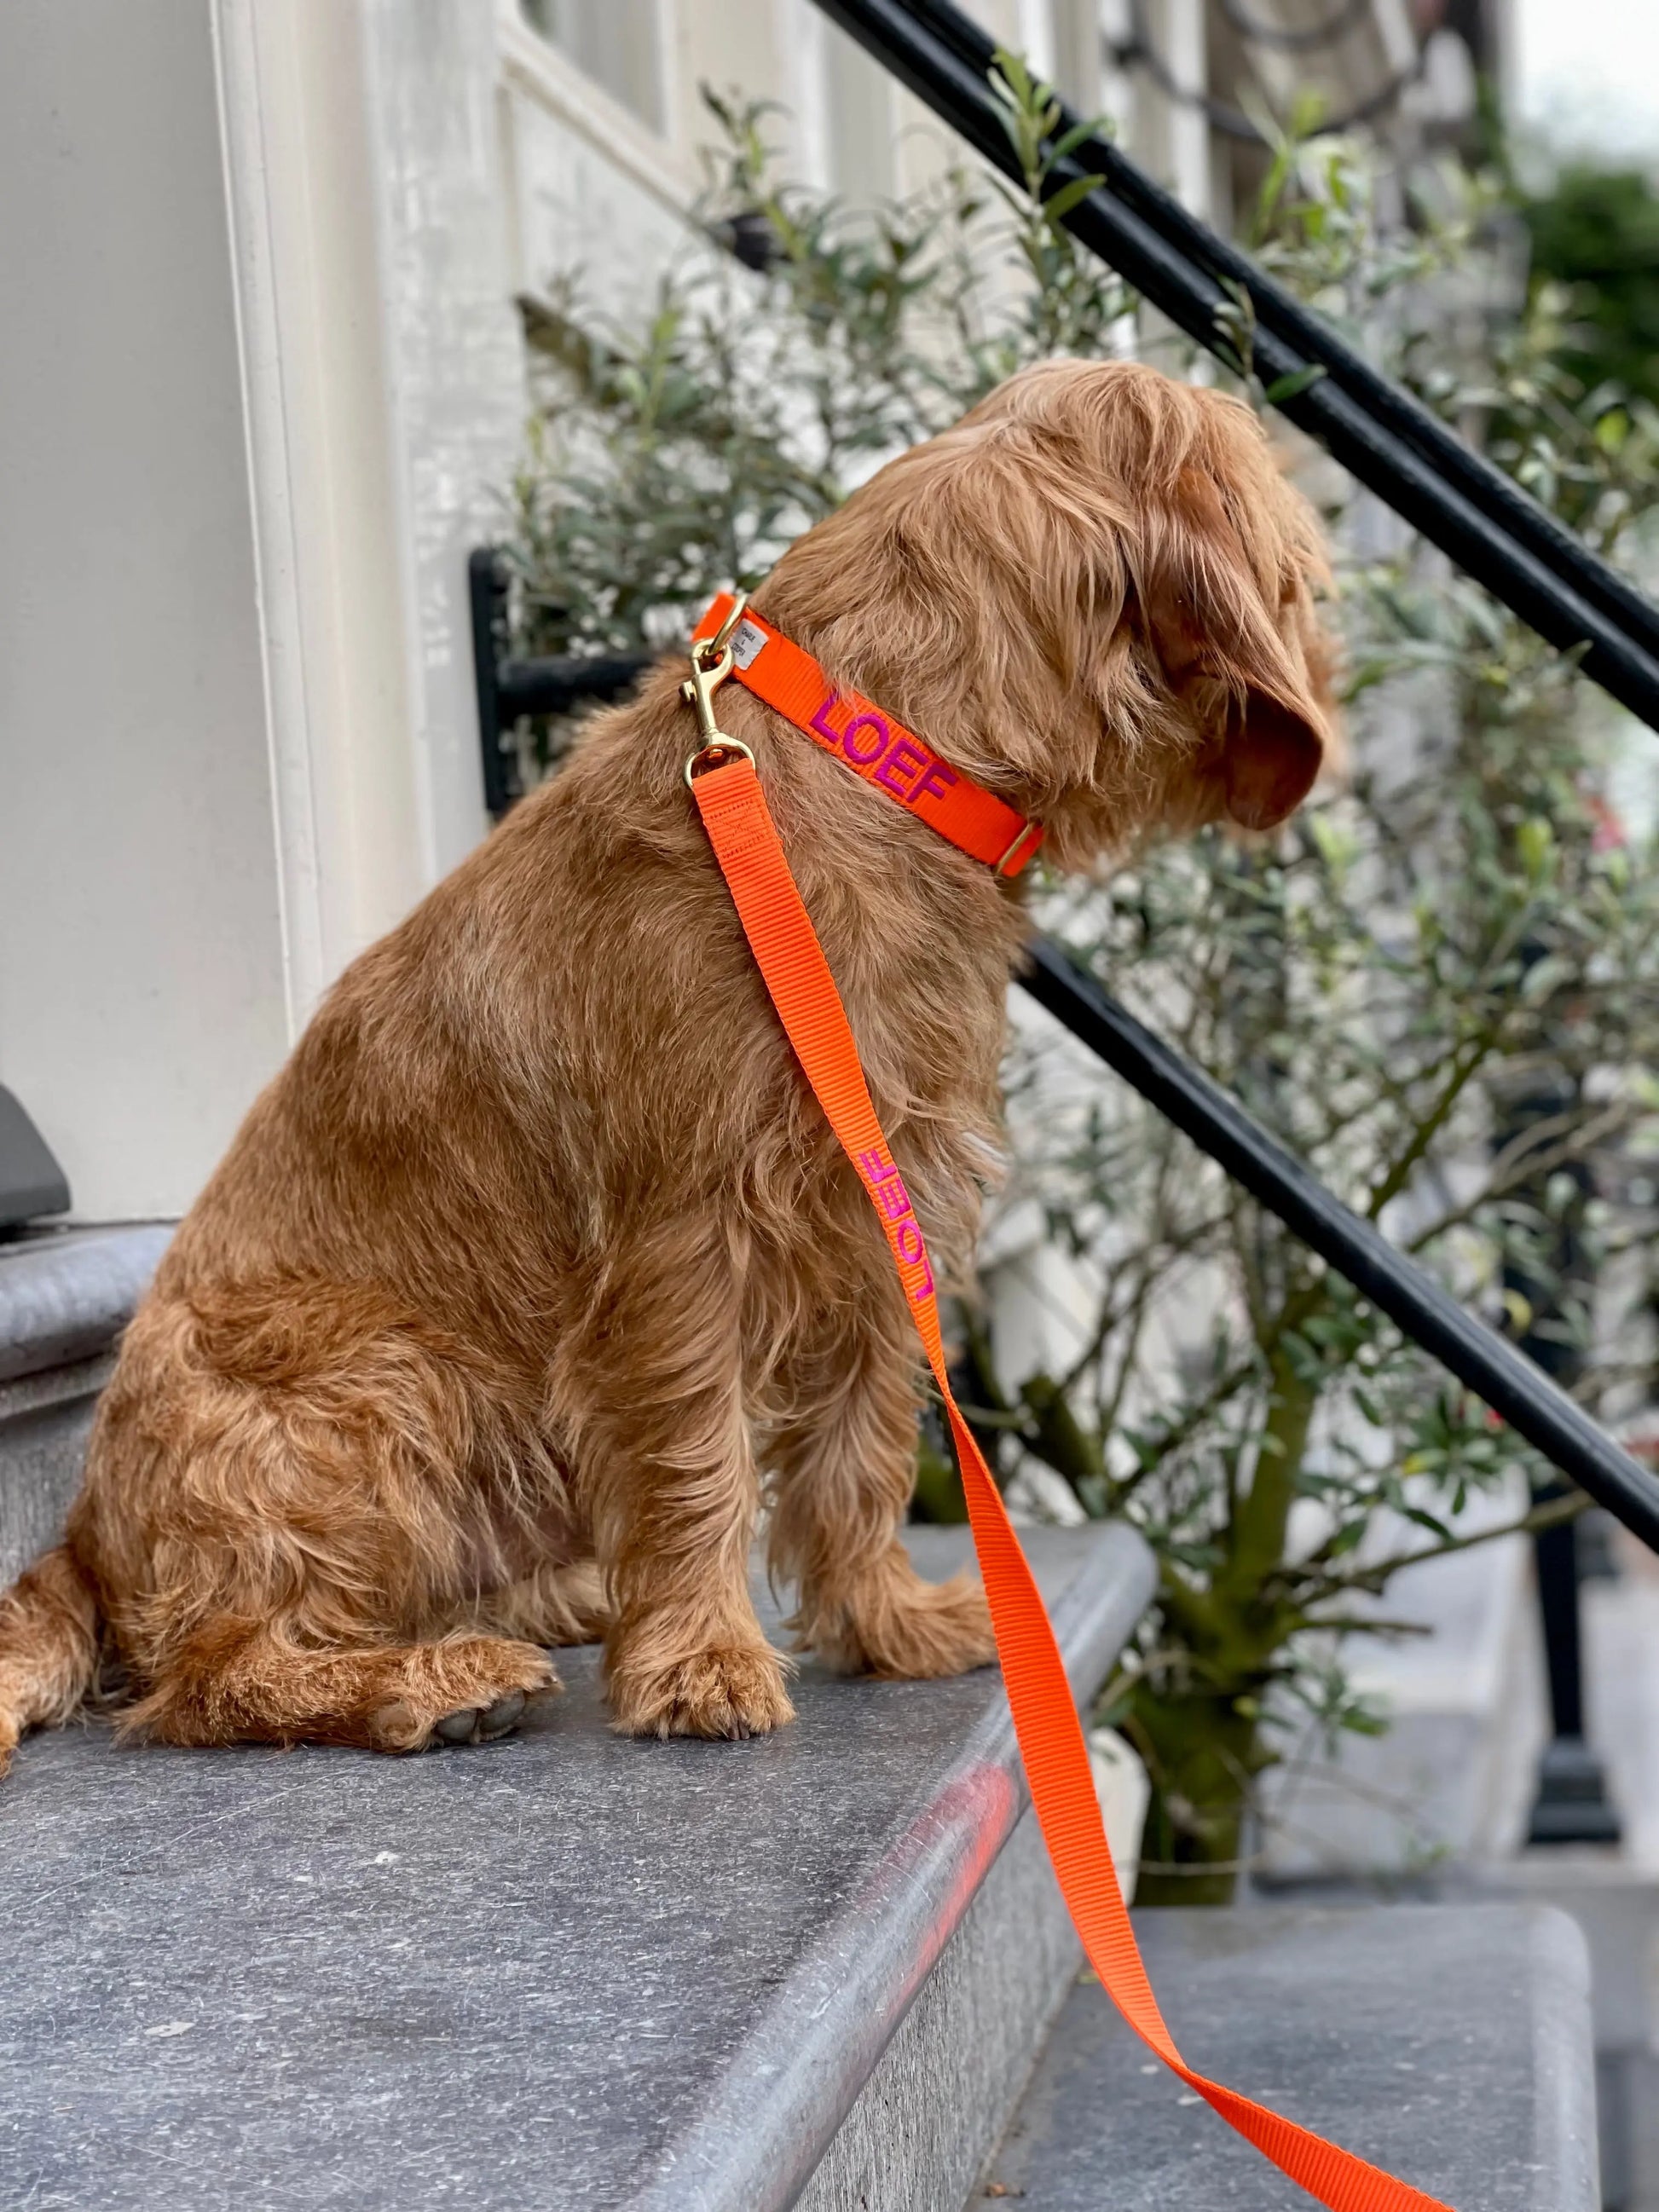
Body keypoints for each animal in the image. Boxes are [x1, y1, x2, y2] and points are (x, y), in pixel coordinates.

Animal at [0, 367, 1336, 1778]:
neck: (870, 751)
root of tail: (81, 1537)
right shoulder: (687, 1229)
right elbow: (698, 1447)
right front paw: (700, 1658)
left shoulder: (875, 1201)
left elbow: (863, 1441)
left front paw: (882, 1619)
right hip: (383, 1373)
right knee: (211, 1669)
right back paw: (432, 1679)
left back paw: (553, 1600)